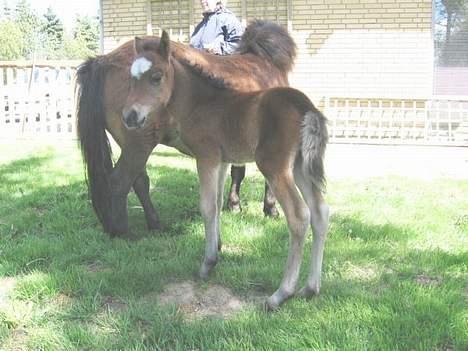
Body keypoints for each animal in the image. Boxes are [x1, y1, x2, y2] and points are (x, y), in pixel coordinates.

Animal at [76, 20, 292, 238]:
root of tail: (104, 60)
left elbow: (237, 171)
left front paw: (234, 205)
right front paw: (270, 209)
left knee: (139, 181)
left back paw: (154, 223)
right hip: (139, 144)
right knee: (120, 181)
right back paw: (122, 232)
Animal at [119, 31, 330, 310]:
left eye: (156, 76)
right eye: (131, 78)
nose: (130, 116)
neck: (200, 103)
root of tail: (306, 106)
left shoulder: (206, 157)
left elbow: (207, 208)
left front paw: (207, 264)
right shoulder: (221, 160)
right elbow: (218, 204)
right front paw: (217, 247)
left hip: (274, 166)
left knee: (298, 216)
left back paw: (280, 294)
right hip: (299, 166)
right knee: (320, 212)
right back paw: (310, 288)